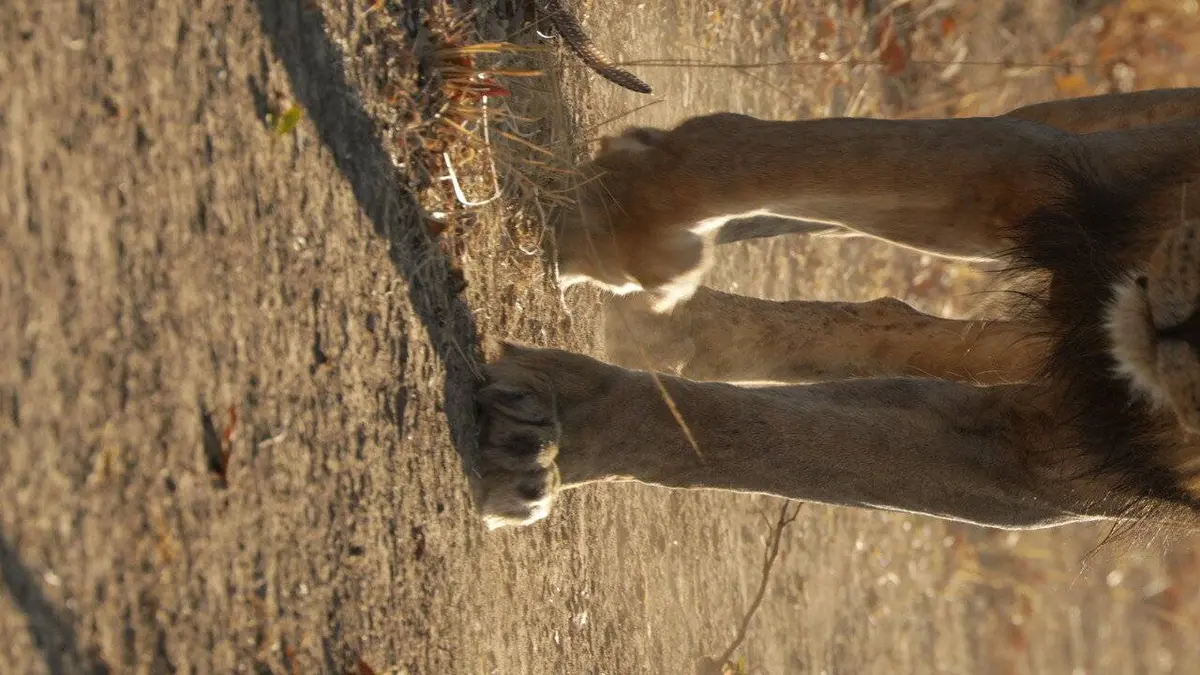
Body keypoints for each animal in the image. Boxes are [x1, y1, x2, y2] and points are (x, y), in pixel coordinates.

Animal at [472, 88, 1200, 534]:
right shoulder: (1040, 169)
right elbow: (753, 157)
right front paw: (615, 224)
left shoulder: (1040, 468)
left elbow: (754, 441)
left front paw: (548, 436)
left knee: (893, 328)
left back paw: (671, 329)